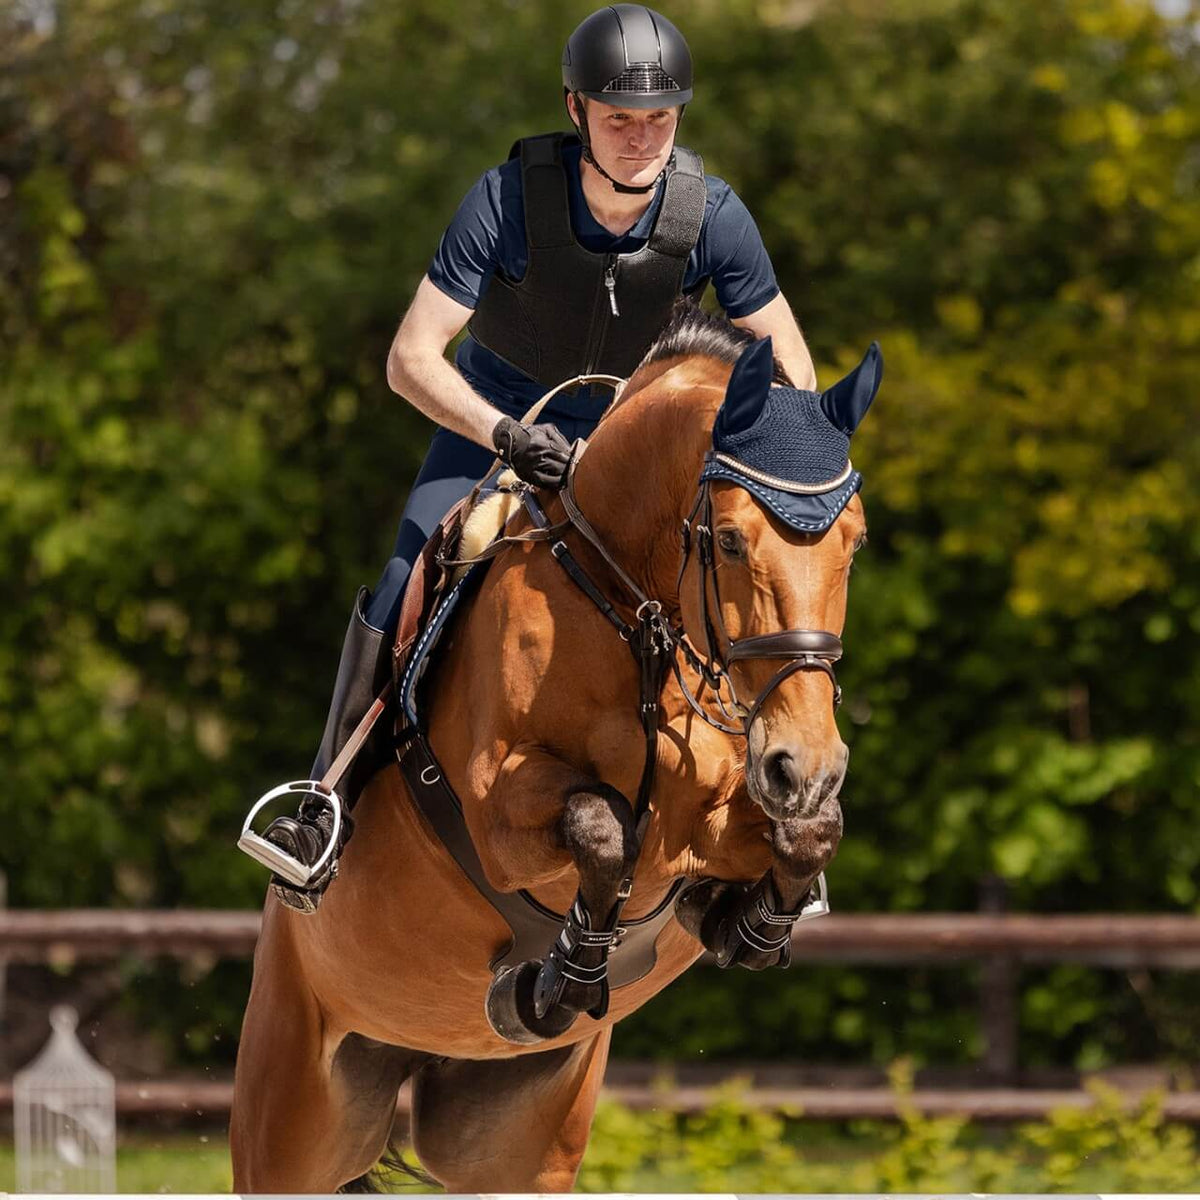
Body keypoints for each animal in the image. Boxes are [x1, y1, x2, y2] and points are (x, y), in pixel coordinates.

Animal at [230, 305, 881, 1193]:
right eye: (731, 542)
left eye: (855, 543)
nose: (807, 765)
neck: (633, 614)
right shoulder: (497, 812)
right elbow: (602, 826)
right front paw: (566, 972)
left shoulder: (725, 810)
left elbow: (807, 832)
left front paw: (746, 924)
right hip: (290, 1117)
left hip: (519, 1144)